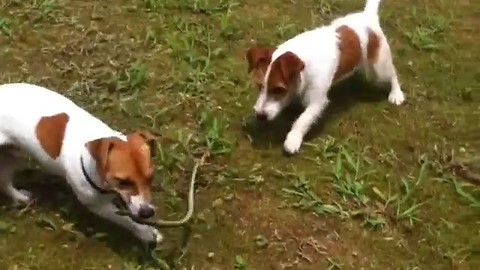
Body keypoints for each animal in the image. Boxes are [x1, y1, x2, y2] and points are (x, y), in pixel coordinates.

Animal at [0, 82, 163, 245]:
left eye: (151, 177)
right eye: (123, 181)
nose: (148, 212)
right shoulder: (97, 206)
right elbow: (126, 220)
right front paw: (146, 233)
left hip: (13, 154)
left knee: (5, 180)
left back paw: (19, 197)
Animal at [246, 0, 404, 154]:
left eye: (278, 89)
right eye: (260, 86)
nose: (260, 116)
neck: (304, 61)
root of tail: (368, 16)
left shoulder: (317, 101)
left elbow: (303, 119)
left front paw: (293, 139)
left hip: (379, 67)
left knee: (393, 74)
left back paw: (396, 94)